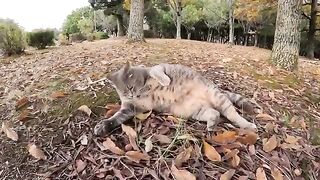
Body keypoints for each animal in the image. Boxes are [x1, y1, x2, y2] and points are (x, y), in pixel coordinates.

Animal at [94, 62, 262, 136]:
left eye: (130, 88)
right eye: (123, 94)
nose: (132, 95)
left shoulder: (157, 67)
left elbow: (158, 73)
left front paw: (165, 81)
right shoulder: (130, 108)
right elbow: (116, 117)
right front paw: (103, 126)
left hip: (218, 98)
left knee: (233, 115)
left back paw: (248, 125)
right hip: (197, 111)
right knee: (215, 113)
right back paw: (211, 124)